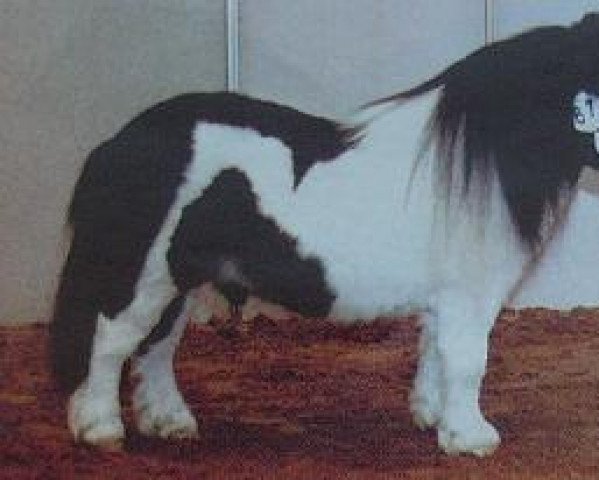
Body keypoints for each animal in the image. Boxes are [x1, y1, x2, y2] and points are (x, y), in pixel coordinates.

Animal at [50, 14, 599, 458]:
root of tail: (119, 143)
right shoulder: (468, 296)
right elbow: (467, 362)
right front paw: (472, 438)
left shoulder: (443, 299)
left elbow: (434, 354)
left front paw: (434, 419)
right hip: (144, 274)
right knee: (111, 340)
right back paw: (100, 429)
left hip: (179, 279)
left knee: (156, 347)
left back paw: (170, 422)